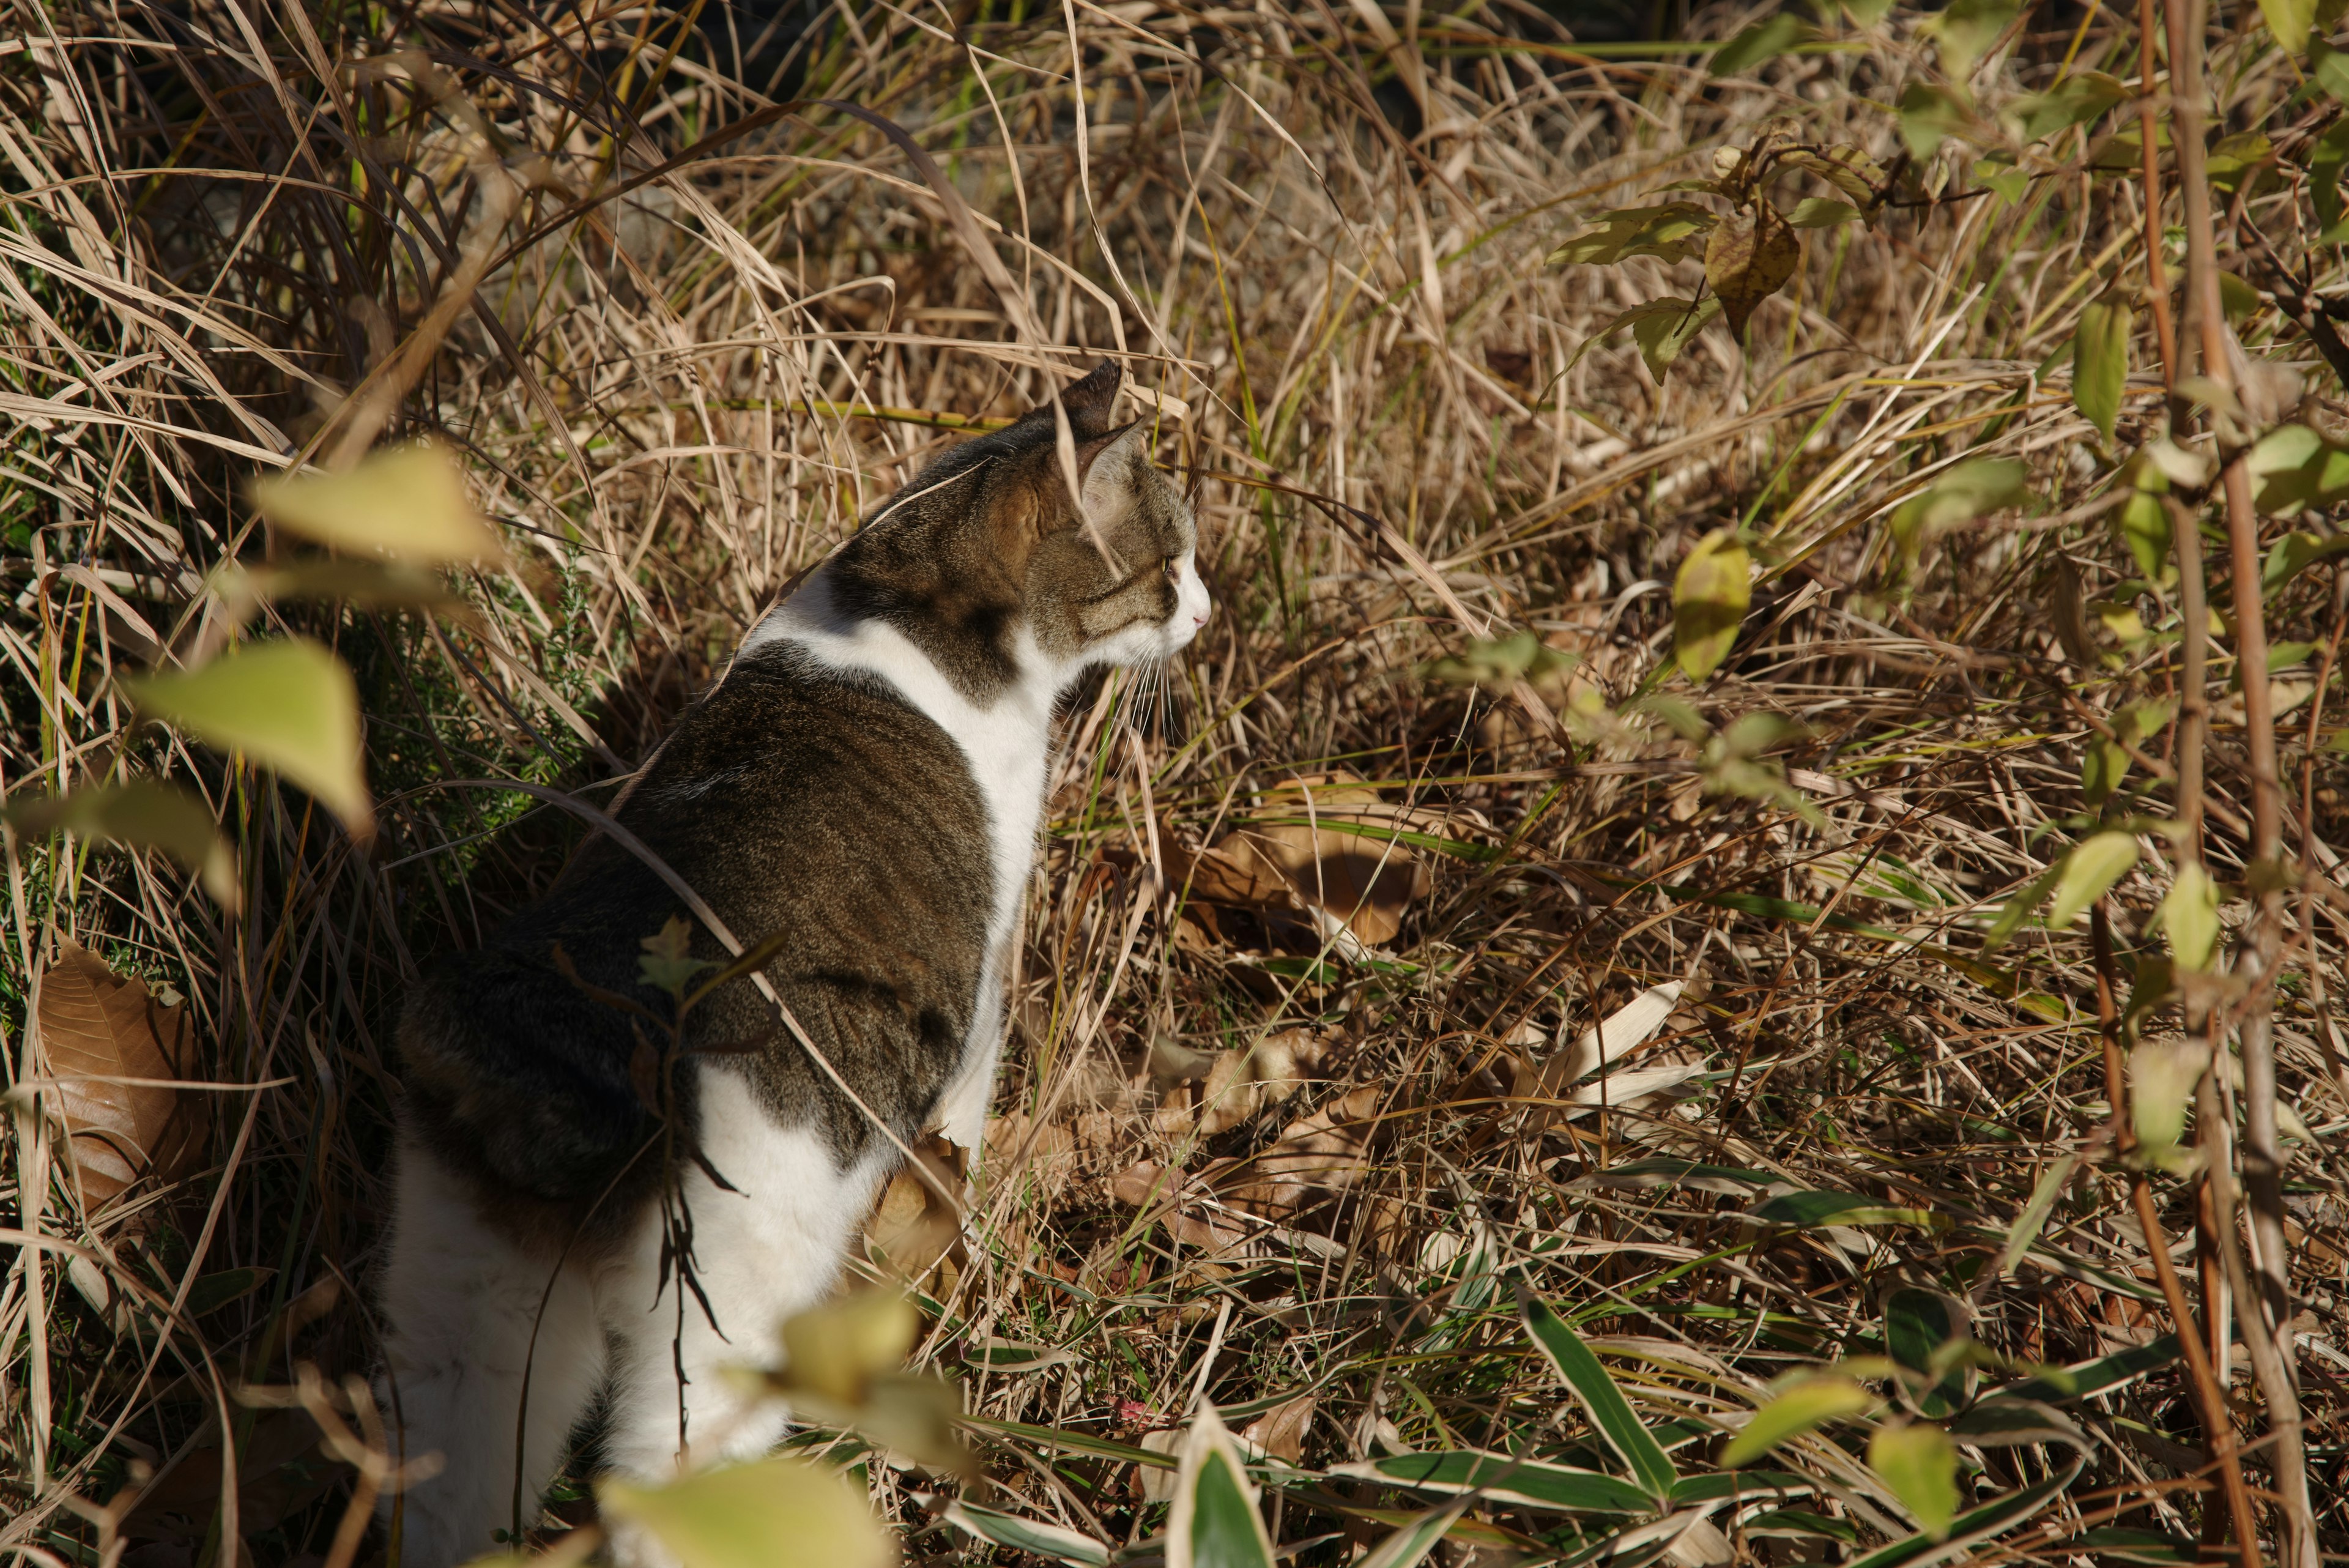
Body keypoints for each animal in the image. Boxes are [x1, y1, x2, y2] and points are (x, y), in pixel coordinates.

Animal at [376, 362, 1212, 1561]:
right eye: (1169, 563)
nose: (1206, 610)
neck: (901, 602)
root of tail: (585, 1056)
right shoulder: (981, 999)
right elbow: (964, 1131)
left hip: (465, 1305)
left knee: (446, 1483)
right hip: (724, 1312)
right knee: (659, 1487)